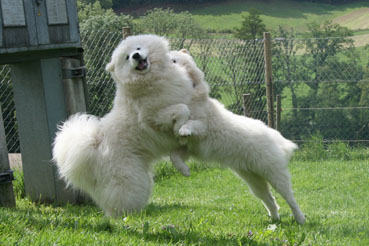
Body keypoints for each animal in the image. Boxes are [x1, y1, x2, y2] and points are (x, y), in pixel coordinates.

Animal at [53, 35, 196, 217]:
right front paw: (180, 130)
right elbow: (182, 109)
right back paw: (127, 216)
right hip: (130, 179)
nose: (136, 56)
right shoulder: (153, 116)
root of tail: (93, 146)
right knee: (119, 202)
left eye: (138, 48)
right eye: (127, 57)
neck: (150, 81)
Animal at [167, 49, 304, 224]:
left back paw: (300, 219)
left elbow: (190, 124)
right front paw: (184, 171)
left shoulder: (204, 126)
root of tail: (275, 137)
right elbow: (174, 157)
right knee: (270, 200)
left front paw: (184, 130)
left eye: (174, 60)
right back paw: (274, 220)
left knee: (290, 199)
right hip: (254, 182)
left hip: (275, 176)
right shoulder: (188, 148)